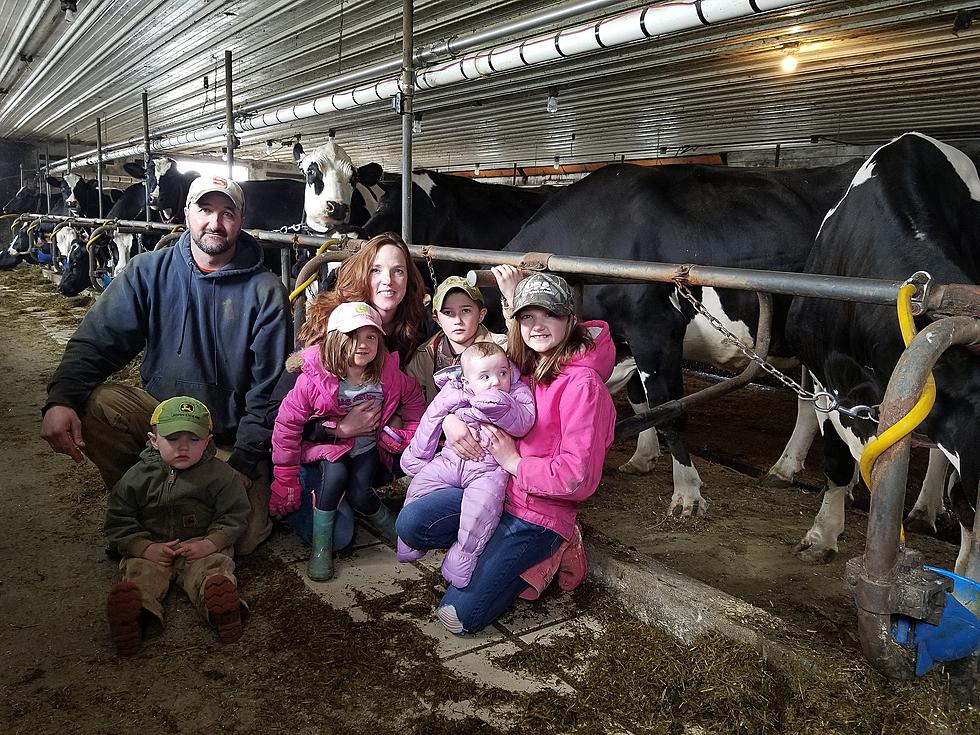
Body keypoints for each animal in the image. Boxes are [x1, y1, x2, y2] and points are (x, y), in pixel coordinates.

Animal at [502, 161, 860, 516]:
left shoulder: (655, 331)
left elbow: (668, 408)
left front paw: (688, 492)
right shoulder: (628, 343)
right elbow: (641, 400)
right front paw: (643, 457)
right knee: (813, 405)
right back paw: (789, 470)